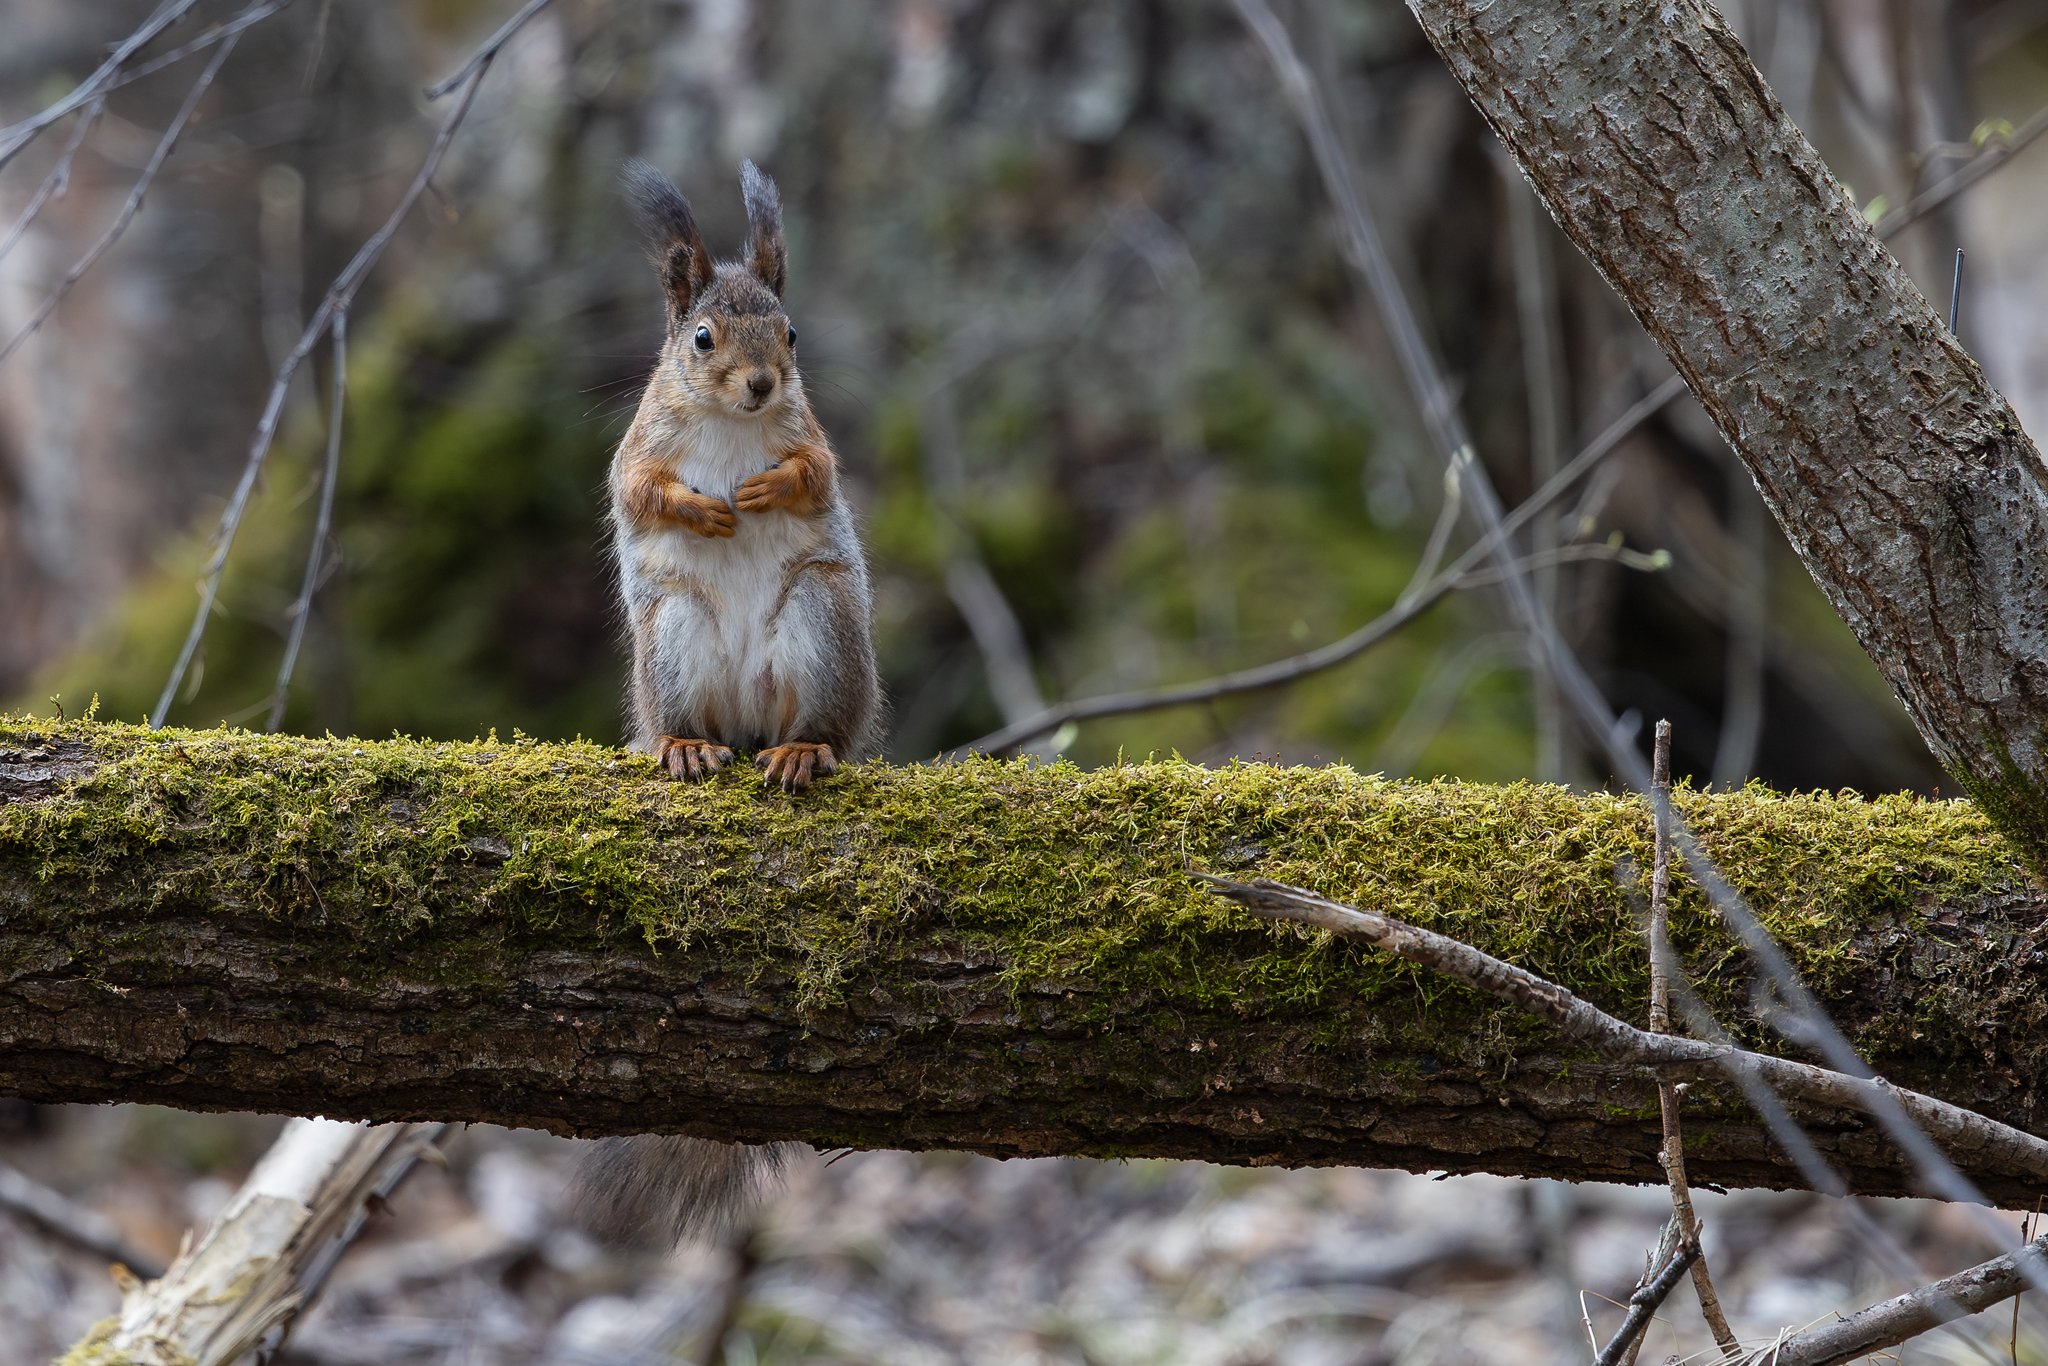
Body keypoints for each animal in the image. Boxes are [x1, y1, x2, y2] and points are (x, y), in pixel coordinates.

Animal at [577, 160, 883, 1244]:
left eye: (789, 334)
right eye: (702, 338)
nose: (759, 385)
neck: (731, 427)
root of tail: (749, 721)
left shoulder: (813, 443)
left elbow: (813, 471)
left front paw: (761, 493)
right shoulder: (636, 452)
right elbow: (641, 489)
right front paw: (703, 507)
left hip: (822, 621)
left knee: (815, 728)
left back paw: (800, 753)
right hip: (675, 635)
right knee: (693, 723)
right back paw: (685, 749)